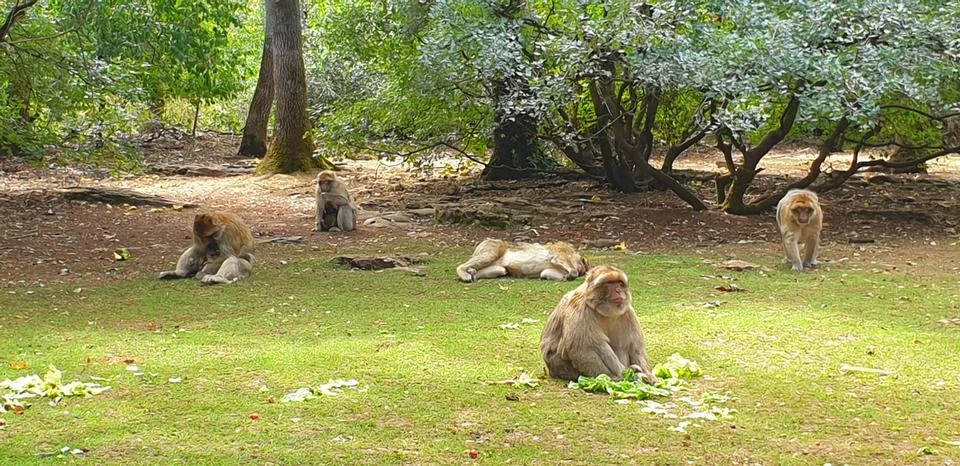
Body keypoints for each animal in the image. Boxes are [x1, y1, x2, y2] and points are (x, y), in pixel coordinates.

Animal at [455, 239, 589, 282]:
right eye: (582, 270)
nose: (581, 271)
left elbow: (544, 273)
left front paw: (566, 276)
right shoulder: (562, 249)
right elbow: (557, 257)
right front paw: (572, 274)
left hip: (498, 265)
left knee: (501, 270)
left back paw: (472, 273)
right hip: (493, 246)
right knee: (489, 255)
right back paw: (464, 272)